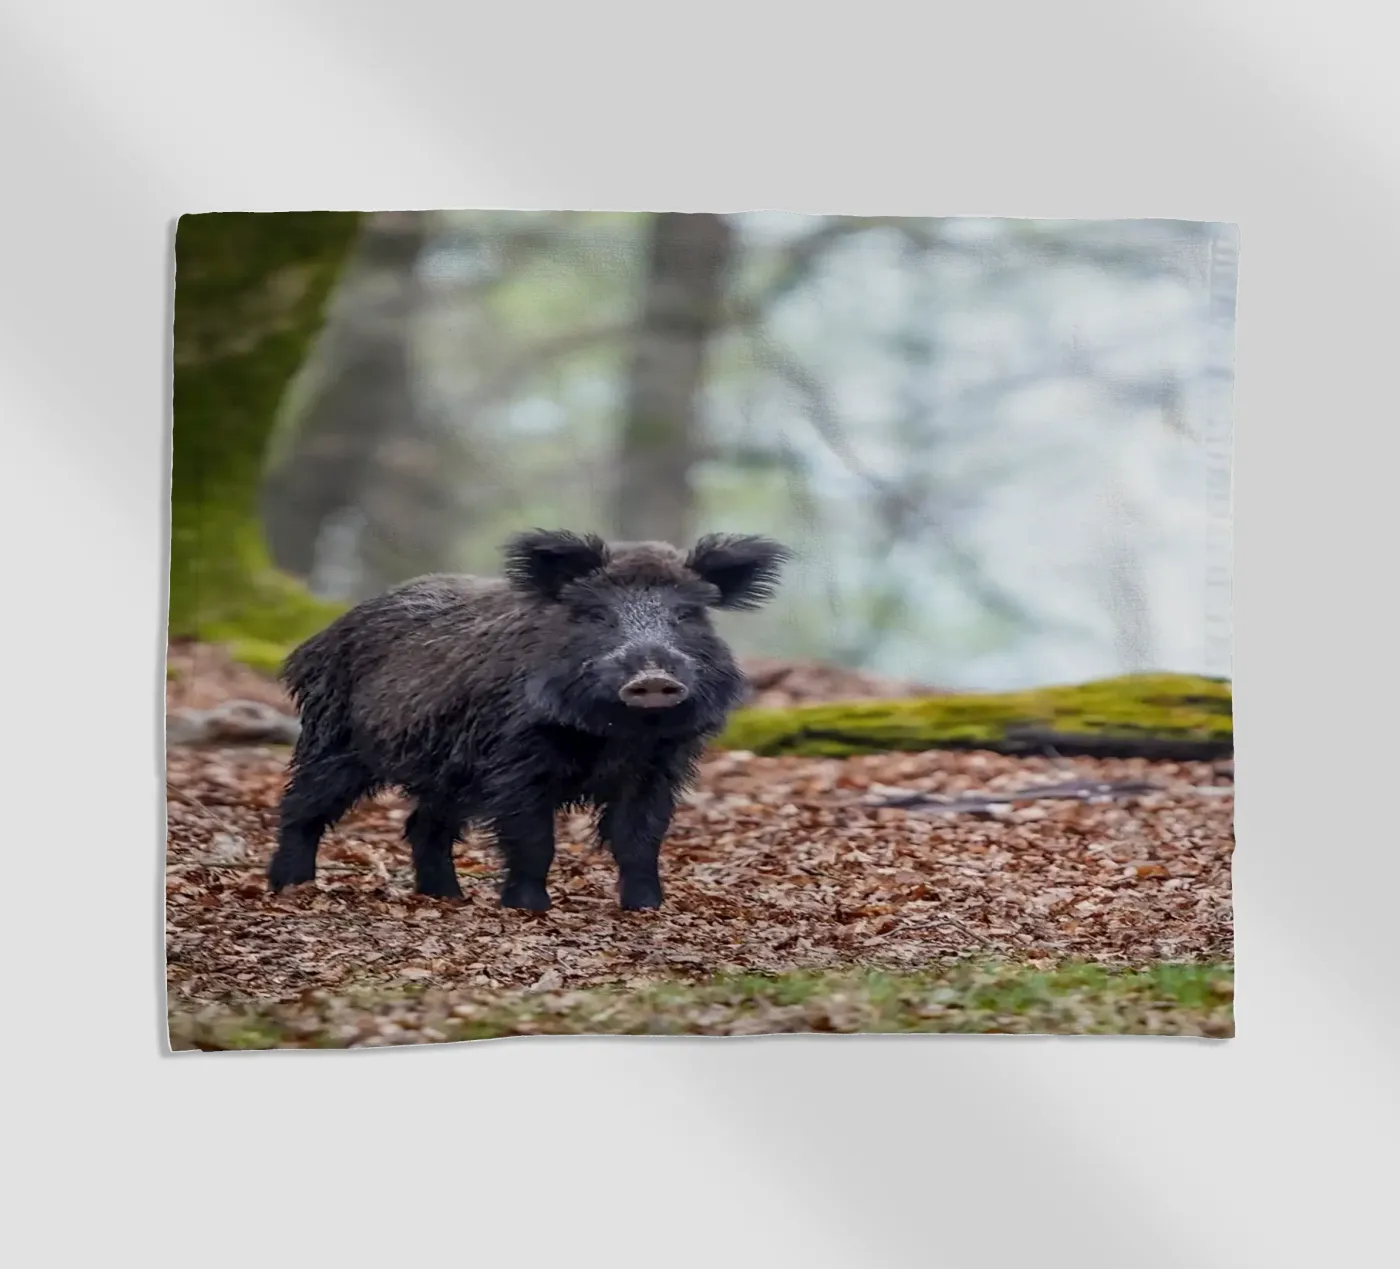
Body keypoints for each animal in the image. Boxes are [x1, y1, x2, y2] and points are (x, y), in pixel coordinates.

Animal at [267, 529, 790, 911]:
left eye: (687, 614)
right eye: (597, 615)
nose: (653, 676)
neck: (615, 734)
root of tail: (312, 645)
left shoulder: (660, 766)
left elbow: (640, 838)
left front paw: (646, 908)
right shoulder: (516, 762)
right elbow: (534, 839)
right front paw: (529, 908)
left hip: (447, 776)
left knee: (424, 826)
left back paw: (448, 898)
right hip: (335, 740)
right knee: (302, 807)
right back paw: (290, 888)